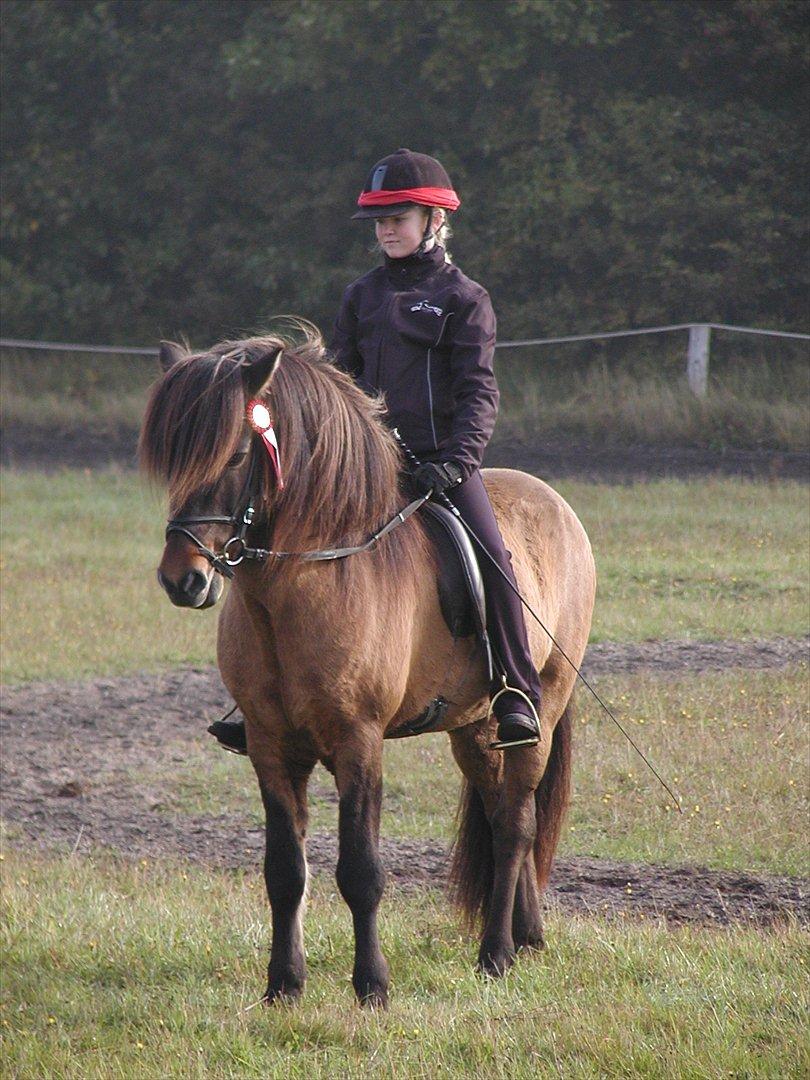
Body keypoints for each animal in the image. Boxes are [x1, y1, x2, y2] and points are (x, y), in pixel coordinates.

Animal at [139, 330, 596, 1010]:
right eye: (173, 459)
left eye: (237, 452)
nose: (182, 580)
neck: (310, 577)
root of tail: (556, 502)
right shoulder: (272, 746)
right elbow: (285, 870)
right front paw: (283, 986)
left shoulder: (359, 742)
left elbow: (361, 870)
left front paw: (372, 986)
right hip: (472, 727)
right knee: (498, 815)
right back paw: (527, 936)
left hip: (542, 705)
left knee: (516, 822)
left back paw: (497, 954)